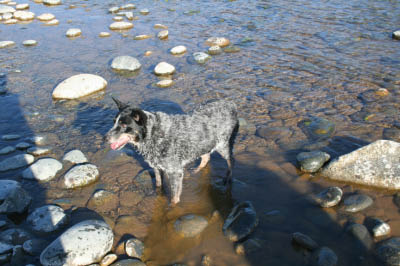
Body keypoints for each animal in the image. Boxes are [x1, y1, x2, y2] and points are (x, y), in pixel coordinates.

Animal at [104, 98, 239, 205]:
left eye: (123, 125)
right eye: (114, 121)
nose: (105, 138)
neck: (153, 134)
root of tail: (230, 104)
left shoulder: (175, 172)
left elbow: (174, 197)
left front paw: (171, 209)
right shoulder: (156, 167)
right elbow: (158, 184)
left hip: (222, 145)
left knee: (231, 160)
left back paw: (228, 179)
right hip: (204, 142)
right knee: (206, 157)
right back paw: (197, 170)